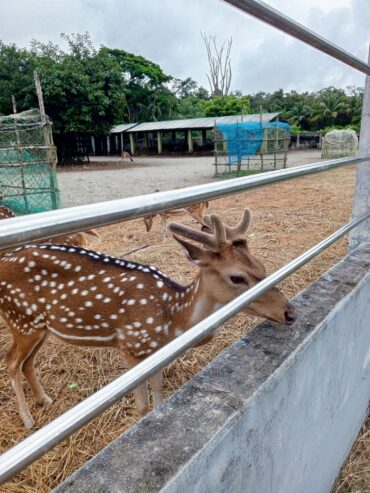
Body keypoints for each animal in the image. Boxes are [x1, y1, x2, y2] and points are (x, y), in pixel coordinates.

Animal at [0, 208, 294, 426]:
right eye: (237, 277)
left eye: (261, 266)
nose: (289, 313)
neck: (172, 321)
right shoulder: (131, 347)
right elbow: (142, 405)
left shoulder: (156, 353)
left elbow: (158, 395)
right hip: (21, 319)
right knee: (11, 361)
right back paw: (27, 419)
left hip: (39, 327)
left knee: (27, 362)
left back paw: (45, 400)